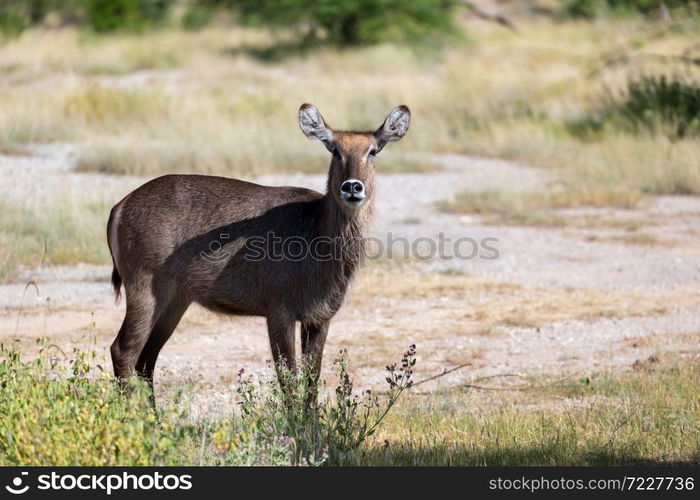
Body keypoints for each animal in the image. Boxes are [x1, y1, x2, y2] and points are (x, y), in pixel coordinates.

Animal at [105, 102, 410, 402]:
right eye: (334, 149)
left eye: (373, 150)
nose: (352, 187)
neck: (316, 233)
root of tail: (120, 206)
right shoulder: (278, 310)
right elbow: (289, 384)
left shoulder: (320, 317)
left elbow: (311, 384)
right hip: (144, 286)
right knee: (123, 350)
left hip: (176, 299)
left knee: (146, 360)